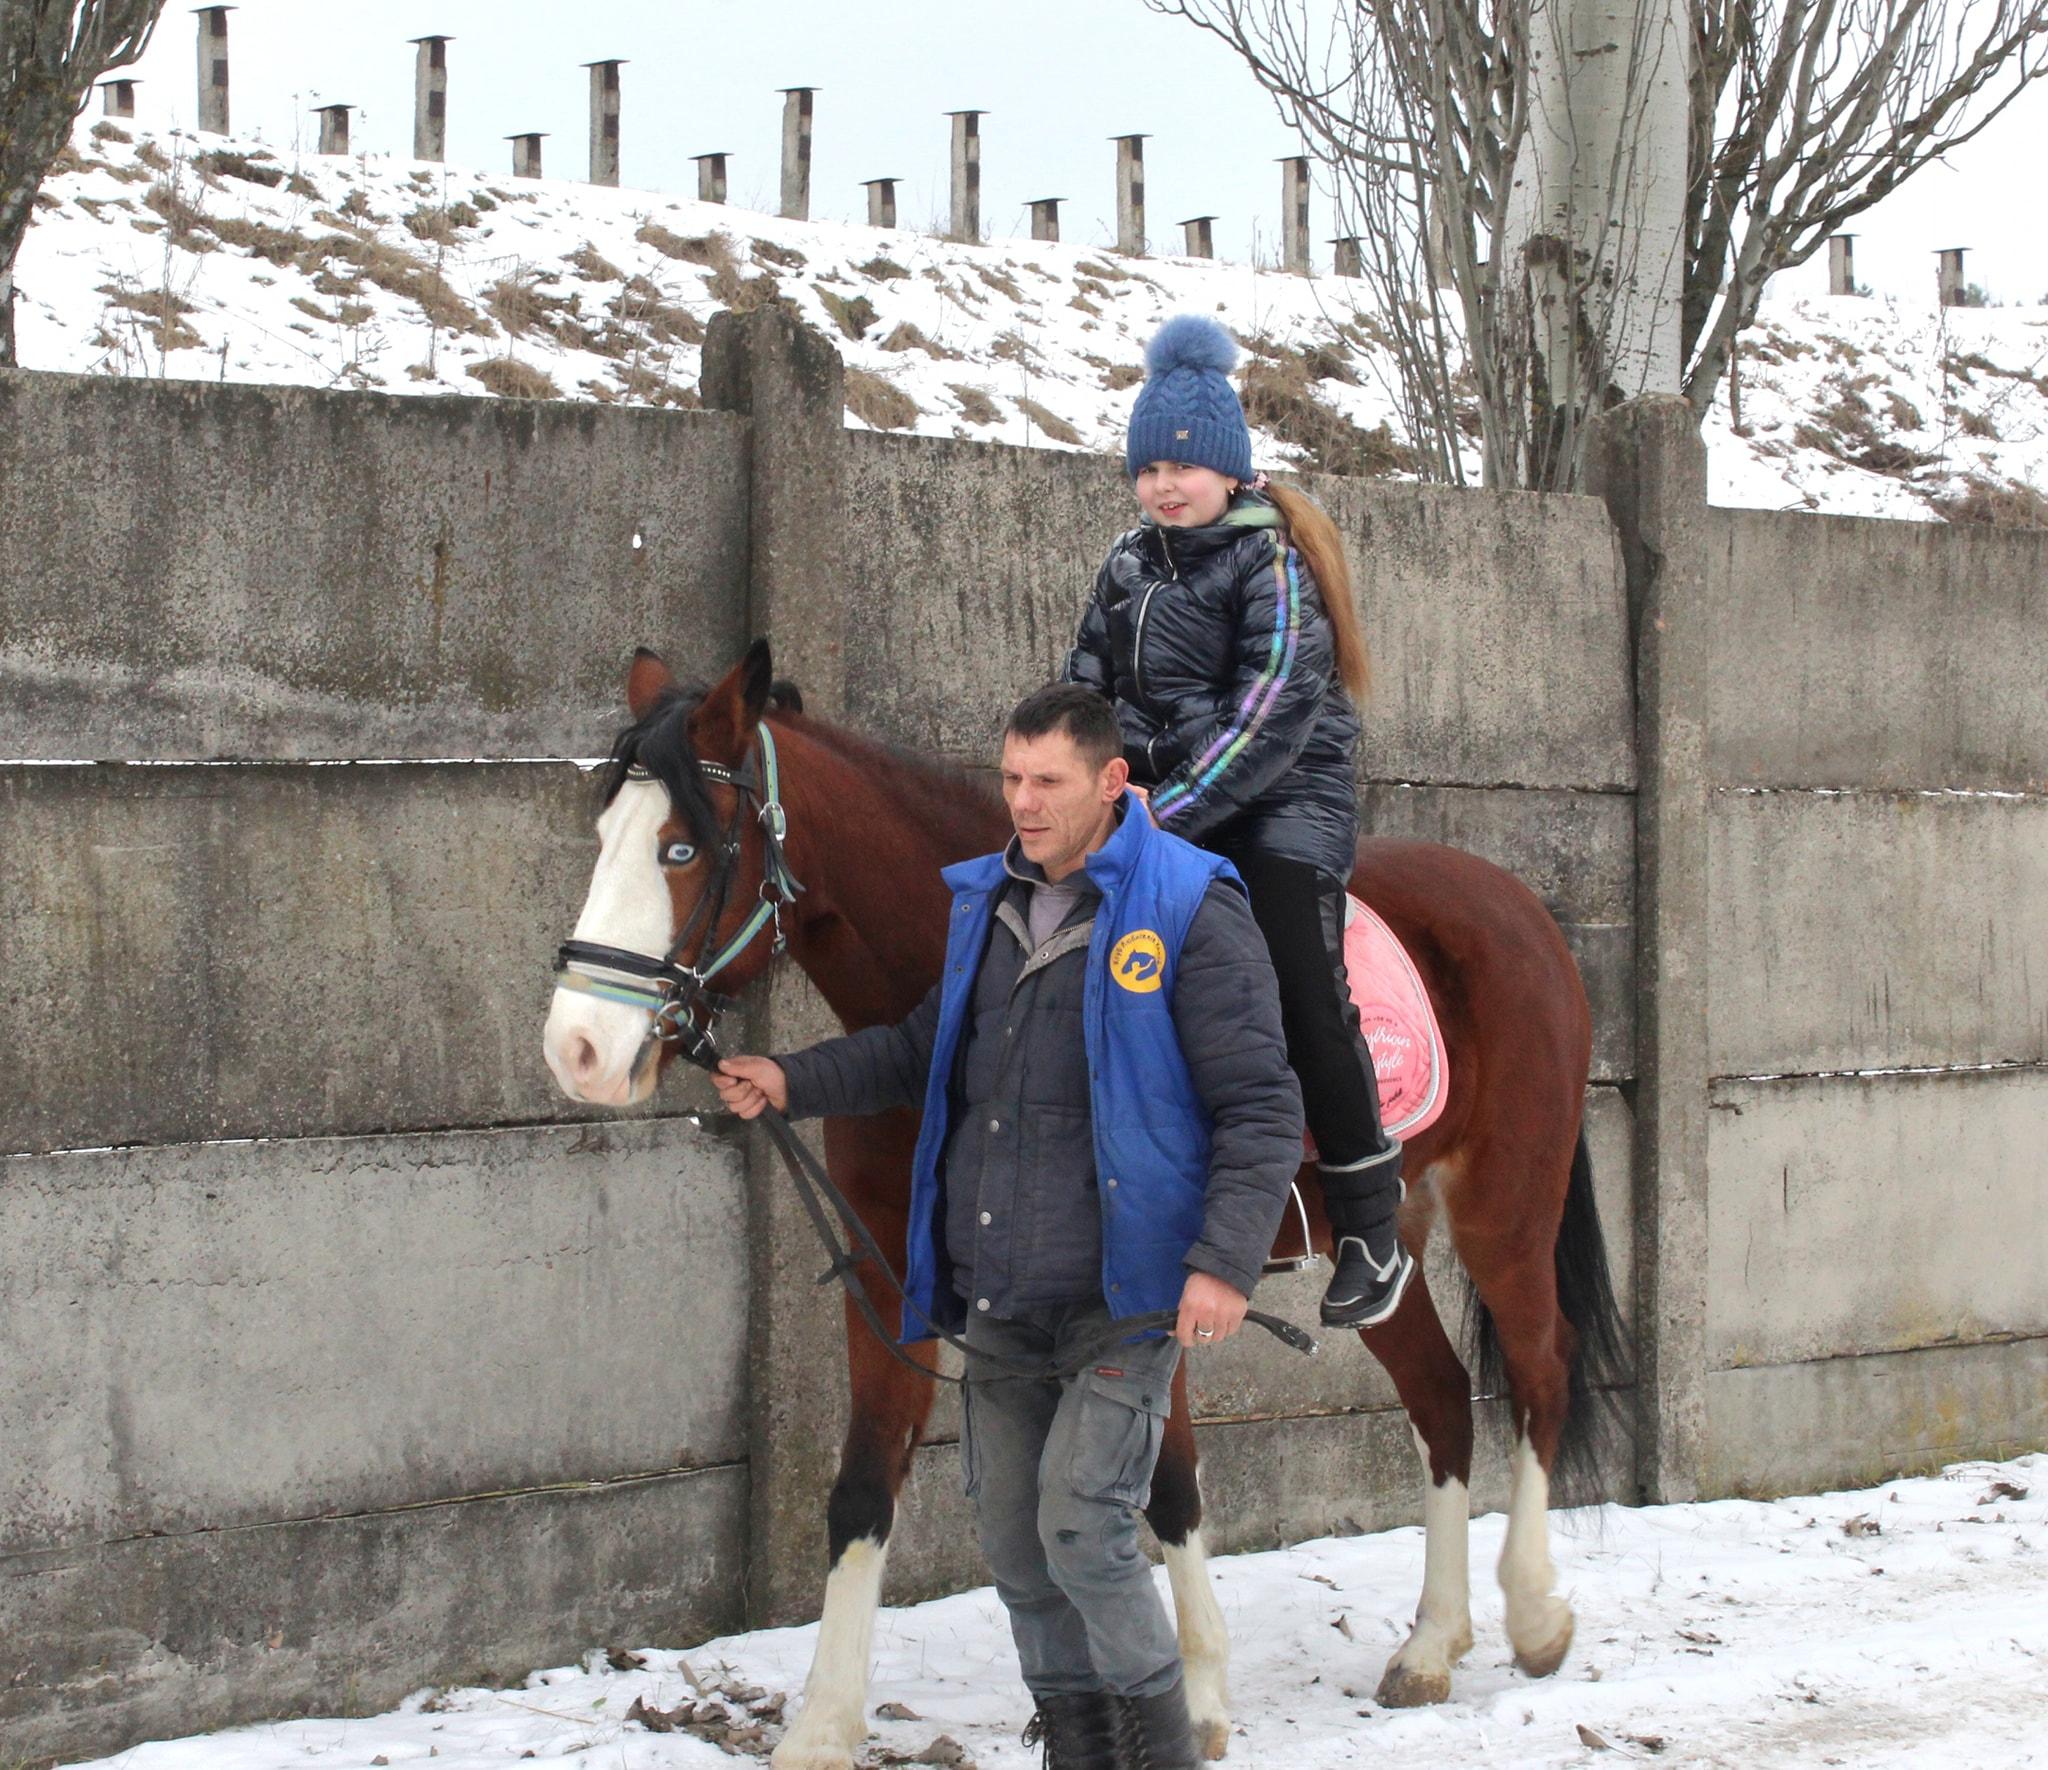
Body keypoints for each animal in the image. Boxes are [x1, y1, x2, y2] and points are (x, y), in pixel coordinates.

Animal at [544, 647, 1630, 1770]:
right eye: (603, 836)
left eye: (681, 848)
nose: (576, 1051)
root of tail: (1519, 906)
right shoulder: (895, 1280)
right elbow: (864, 1485)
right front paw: (822, 1728)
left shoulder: (1154, 1282)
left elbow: (1164, 1483)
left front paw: (1198, 1700)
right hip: (1384, 1241)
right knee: (1442, 1397)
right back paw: (1429, 1647)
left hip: (1507, 1207)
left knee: (1541, 1371)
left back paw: (1532, 1617)